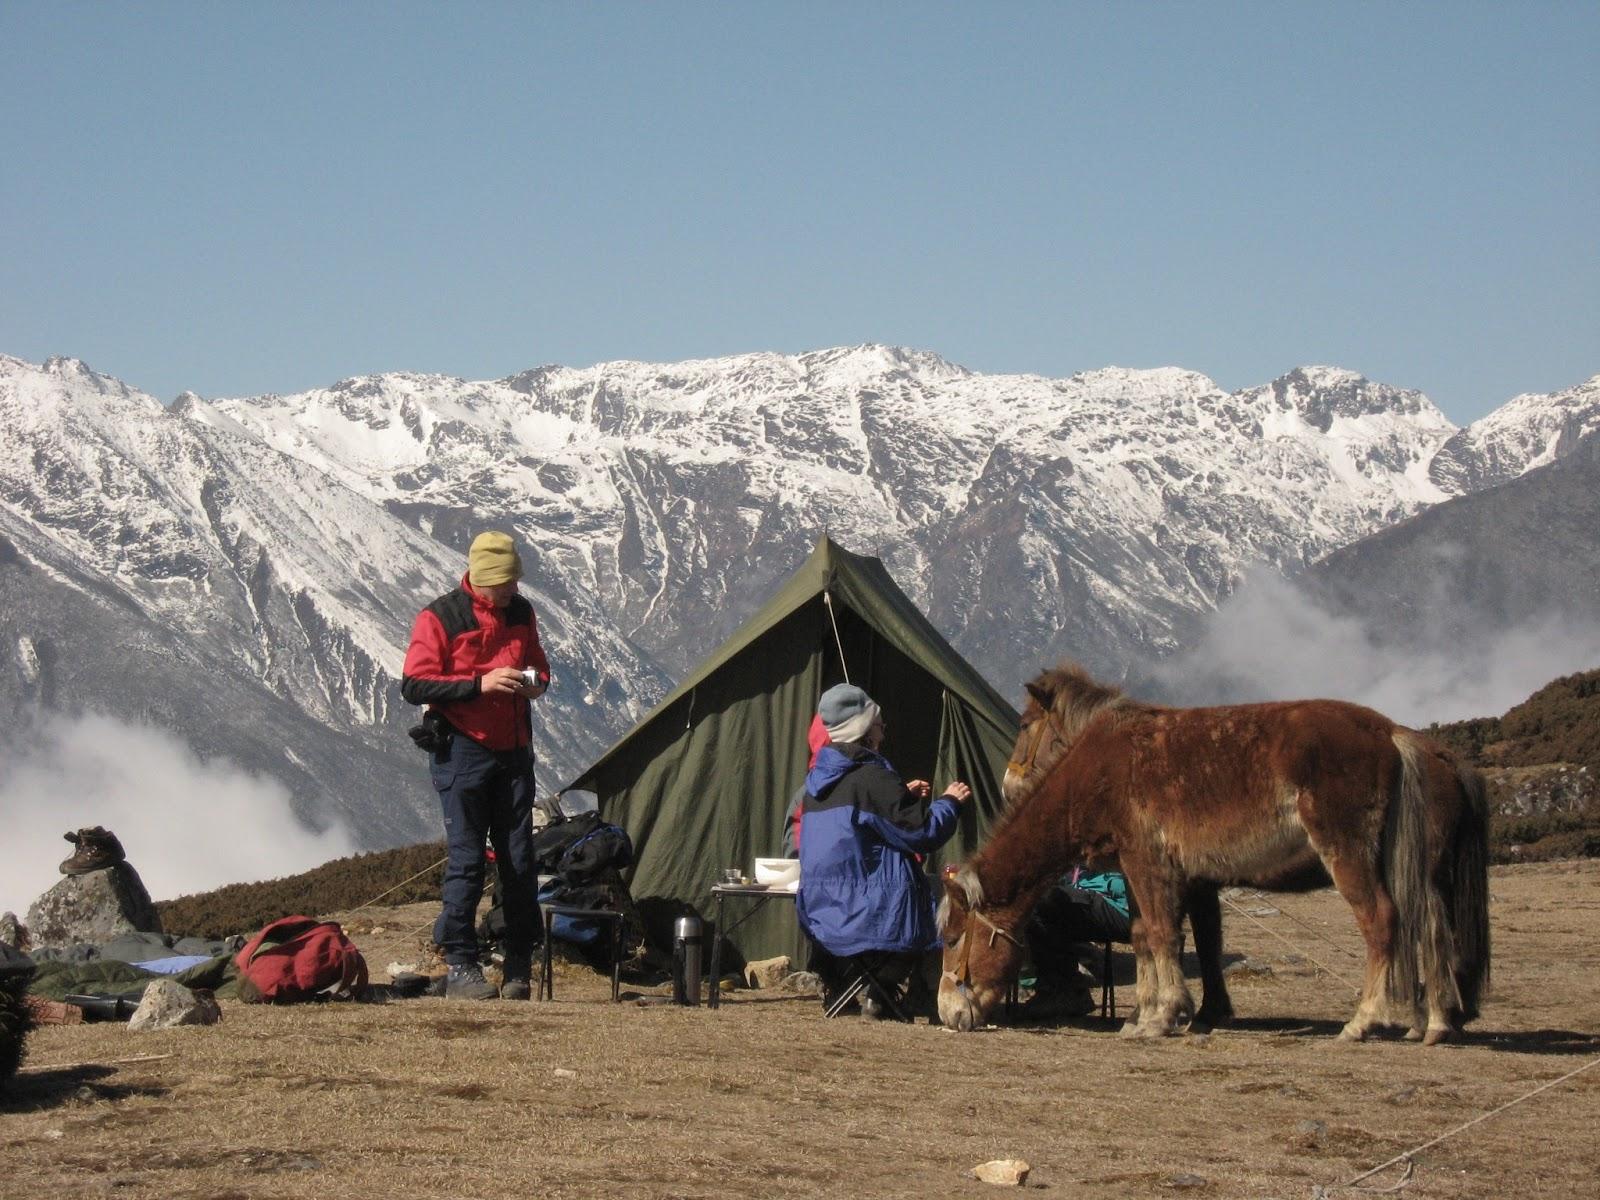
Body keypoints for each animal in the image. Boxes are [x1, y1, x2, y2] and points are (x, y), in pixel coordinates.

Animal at [934, 662, 1484, 1049]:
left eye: (954, 939)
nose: (948, 1013)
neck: (1097, 768)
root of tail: (1396, 735)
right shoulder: (1165, 877)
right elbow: (1156, 935)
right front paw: (1156, 1014)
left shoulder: (1147, 865)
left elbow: (1161, 935)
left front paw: (1163, 1015)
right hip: (1418, 871)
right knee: (1432, 928)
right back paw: (1434, 1022)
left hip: (1350, 854)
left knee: (1382, 922)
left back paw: (1364, 1021)